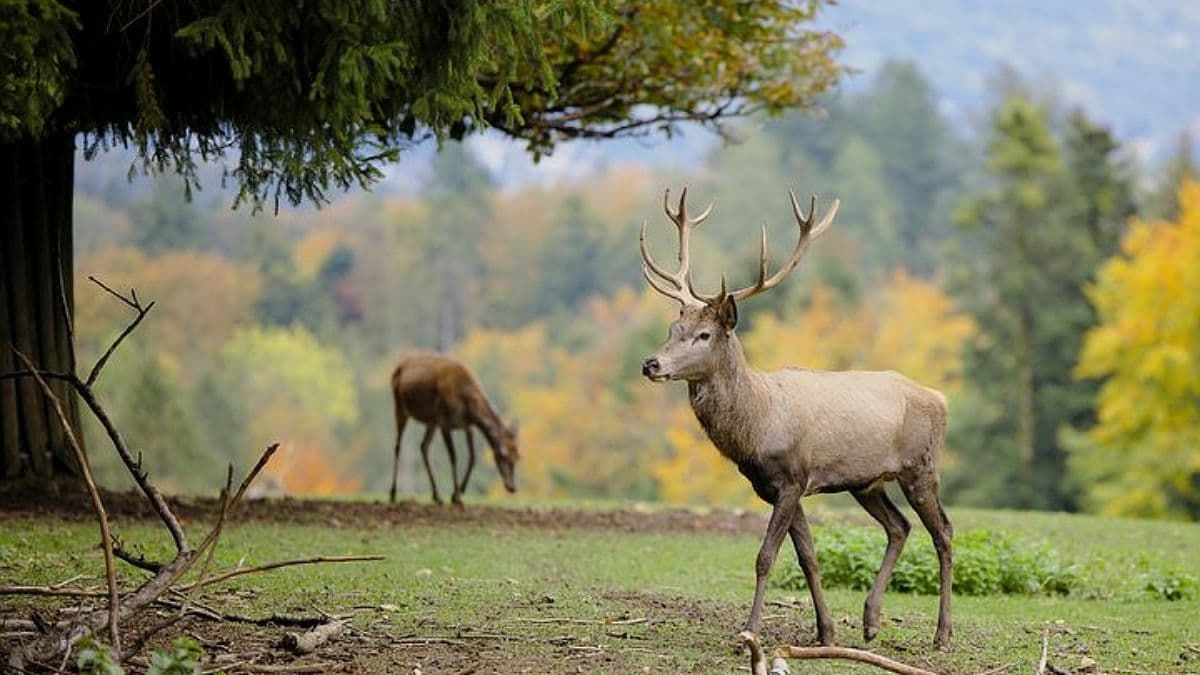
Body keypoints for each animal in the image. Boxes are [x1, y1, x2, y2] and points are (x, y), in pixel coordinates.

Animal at [391, 348, 518, 502]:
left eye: (517, 456)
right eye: (503, 456)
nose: (512, 487)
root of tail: (398, 366)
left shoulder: (468, 426)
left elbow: (473, 457)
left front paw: (460, 491)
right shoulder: (444, 421)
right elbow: (453, 456)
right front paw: (456, 495)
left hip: (431, 420)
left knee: (424, 446)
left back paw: (437, 496)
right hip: (400, 406)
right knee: (398, 446)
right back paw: (393, 493)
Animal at [643, 187, 950, 648]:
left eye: (704, 335)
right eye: (671, 330)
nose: (651, 364)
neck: (757, 427)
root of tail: (941, 398)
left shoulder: (792, 477)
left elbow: (765, 557)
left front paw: (750, 631)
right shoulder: (776, 488)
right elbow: (808, 557)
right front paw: (825, 633)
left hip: (921, 466)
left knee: (943, 532)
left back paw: (942, 634)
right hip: (866, 482)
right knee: (899, 527)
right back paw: (870, 620)